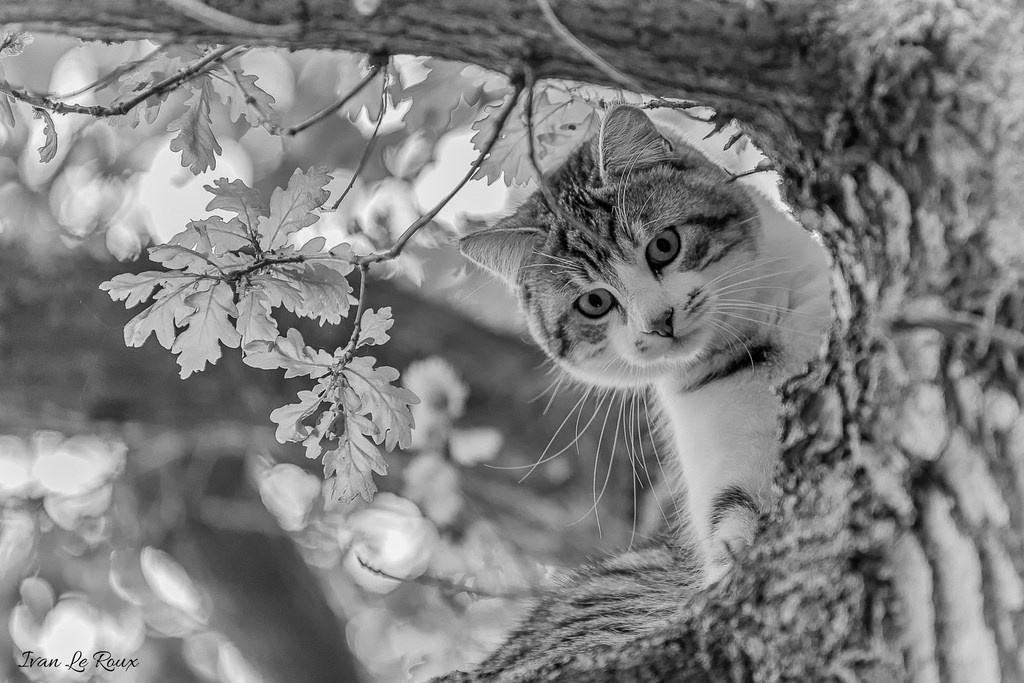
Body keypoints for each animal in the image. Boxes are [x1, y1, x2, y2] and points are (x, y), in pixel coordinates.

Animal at [440, 104, 831, 679]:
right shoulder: (726, 481)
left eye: (663, 245)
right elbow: (732, 531)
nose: (660, 321)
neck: (757, 346)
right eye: (595, 303)